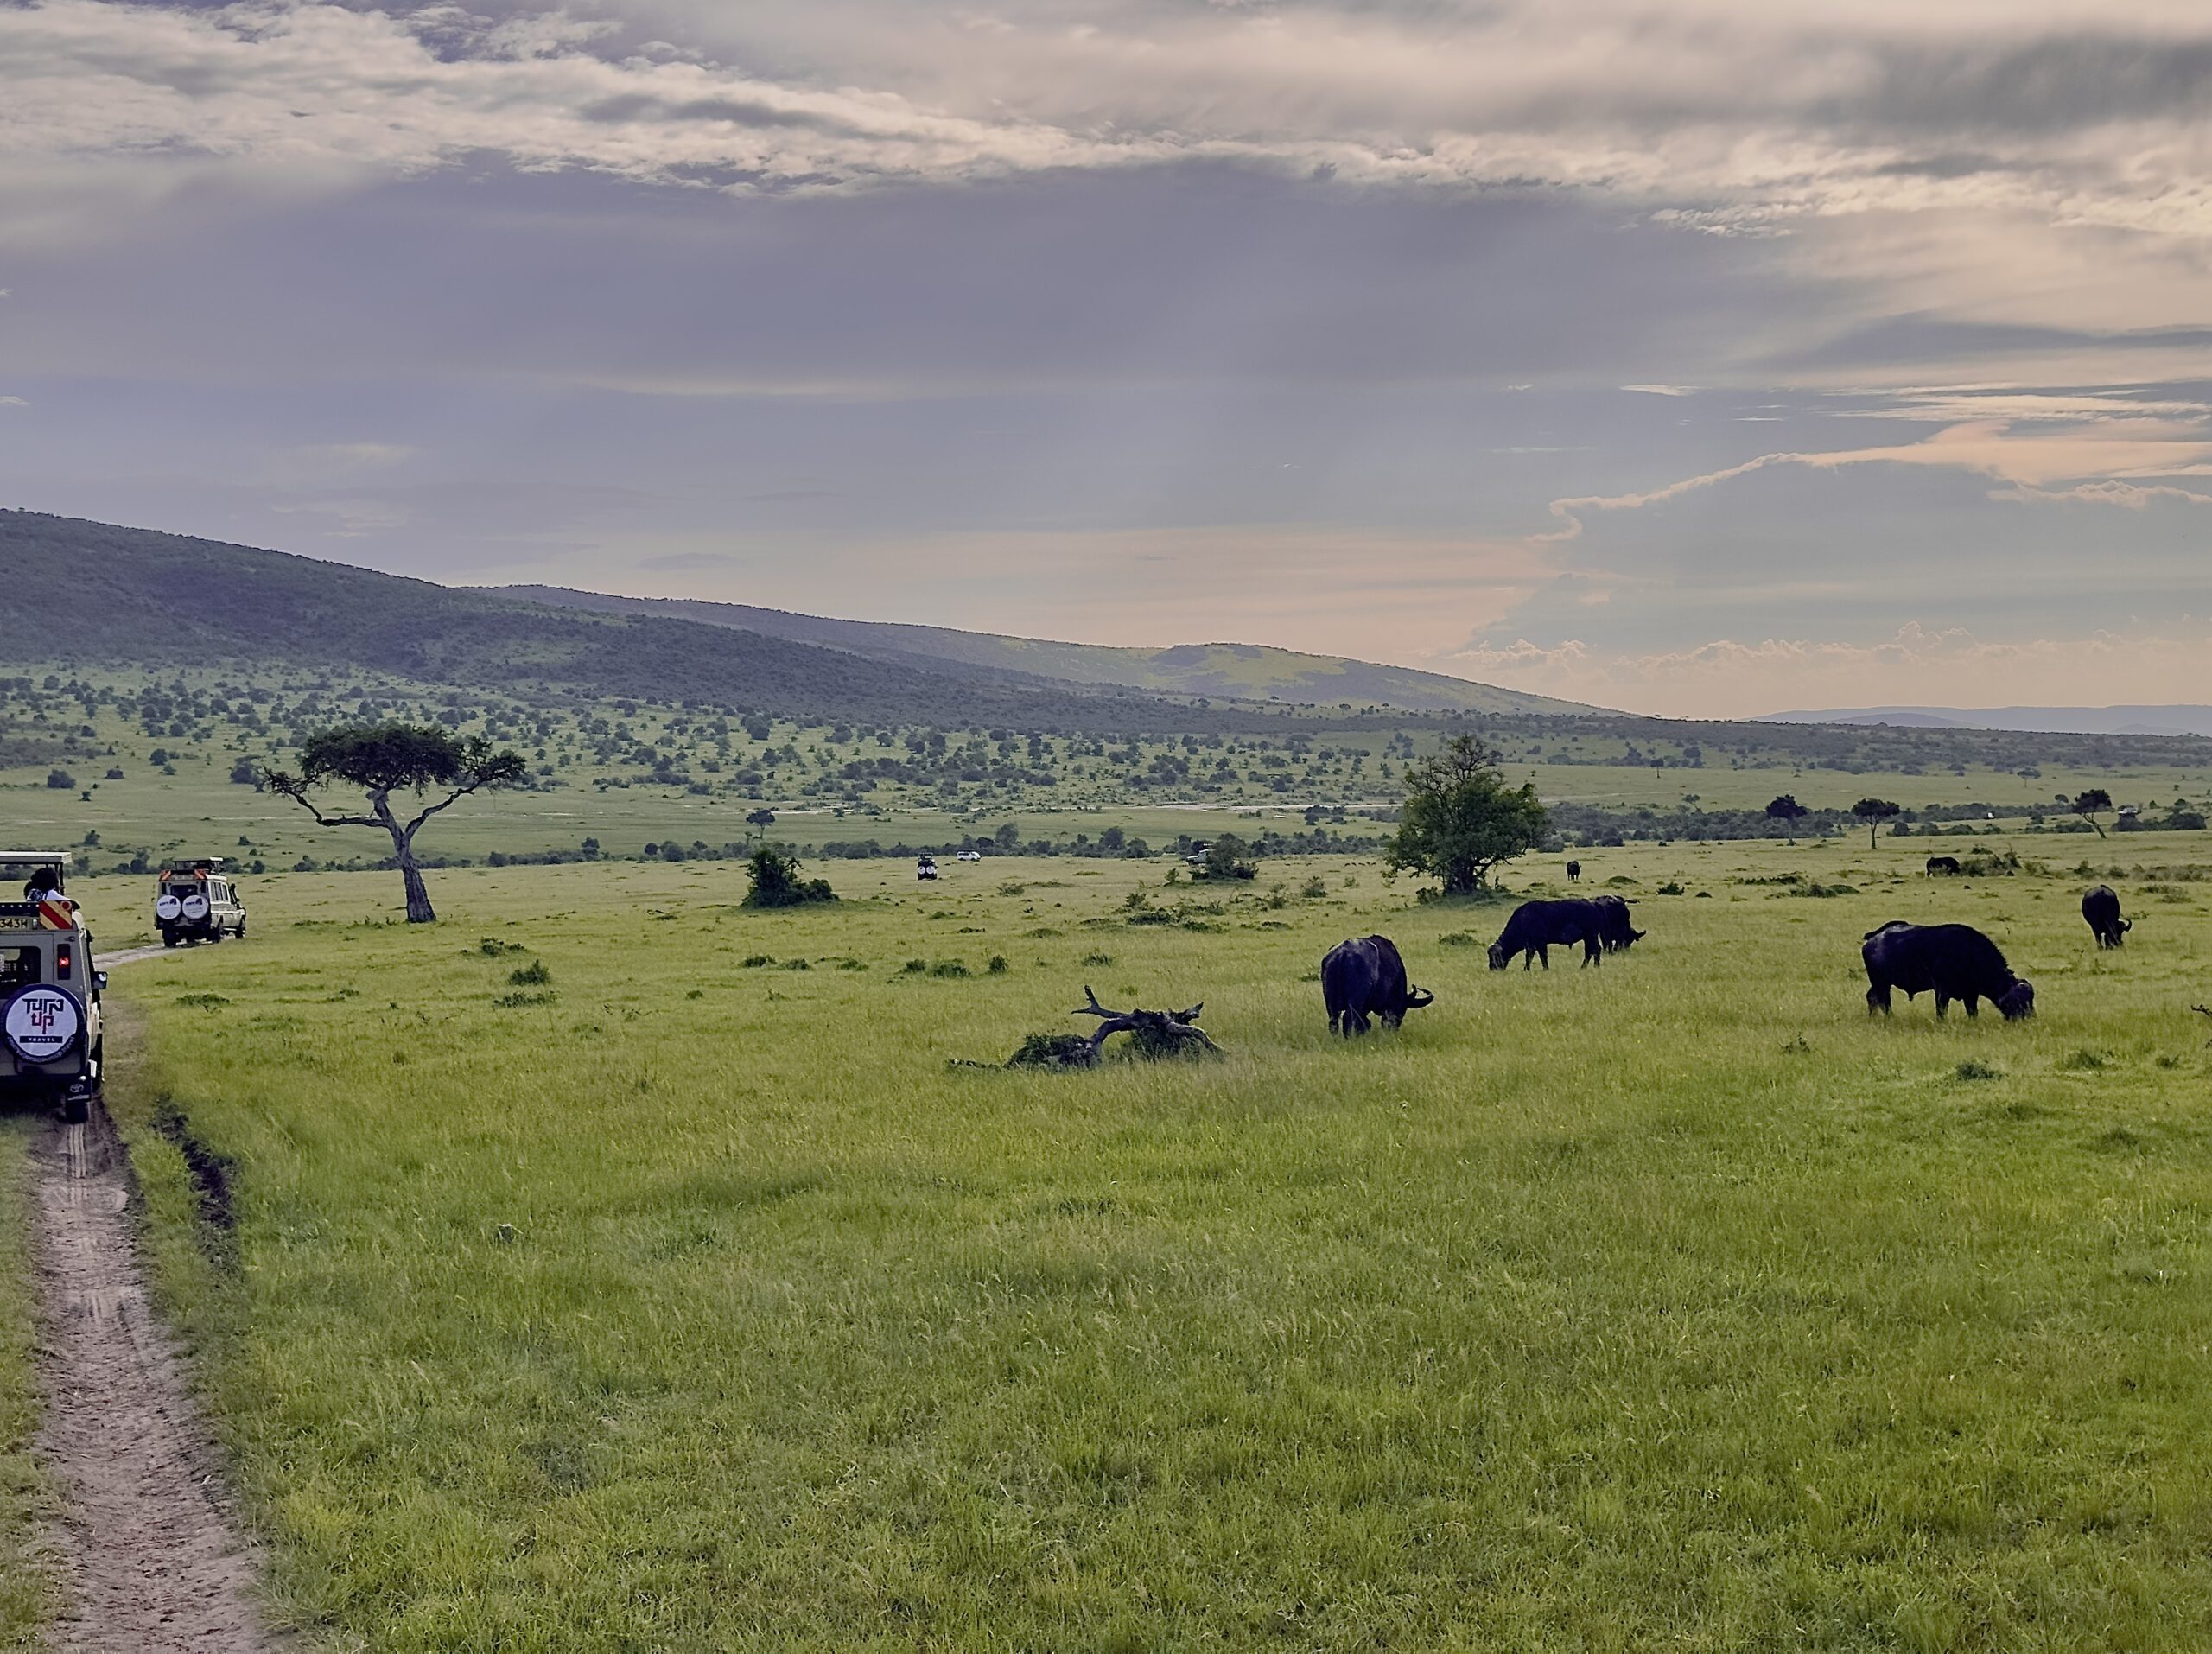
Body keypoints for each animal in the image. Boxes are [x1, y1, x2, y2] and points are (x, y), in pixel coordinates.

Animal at [1318, 937, 1442, 1026]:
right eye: (1402, 1007)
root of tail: (1343, 953)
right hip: (1355, 1001)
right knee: (1349, 1018)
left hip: (1330, 1000)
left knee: (1334, 1021)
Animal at [1486, 907, 1610, 968]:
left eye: (1496, 957)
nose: (1492, 968)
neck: (1523, 921)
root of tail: (1594, 906)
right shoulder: (1537, 945)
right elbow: (1541, 957)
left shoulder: (1535, 944)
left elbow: (1534, 957)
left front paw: (1527, 970)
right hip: (1587, 937)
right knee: (1590, 951)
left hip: (1591, 935)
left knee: (1595, 950)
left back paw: (1595, 966)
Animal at [1858, 915, 2025, 1021]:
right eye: (2019, 1001)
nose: (2027, 1018)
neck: (1970, 953)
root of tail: (1873, 939)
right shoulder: (1942, 991)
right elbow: (1941, 1011)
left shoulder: (1971, 994)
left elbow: (1973, 1012)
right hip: (1882, 983)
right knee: (1884, 1001)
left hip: (1879, 984)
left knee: (1872, 997)